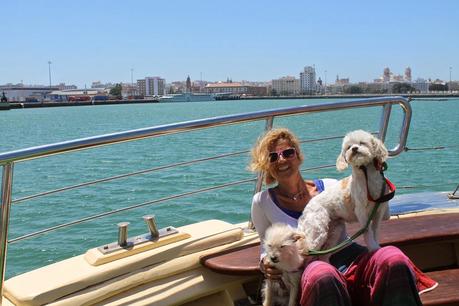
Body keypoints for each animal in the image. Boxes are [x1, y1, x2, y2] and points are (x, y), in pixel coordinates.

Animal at [298, 130, 392, 258]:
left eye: (362, 143)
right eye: (348, 147)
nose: (354, 148)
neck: (367, 177)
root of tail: (306, 209)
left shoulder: (379, 210)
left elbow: (375, 230)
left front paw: (376, 244)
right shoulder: (361, 210)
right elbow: (367, 231)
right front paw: (373, 247)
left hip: (335, 229)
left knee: (323, 254)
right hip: (317, 230)